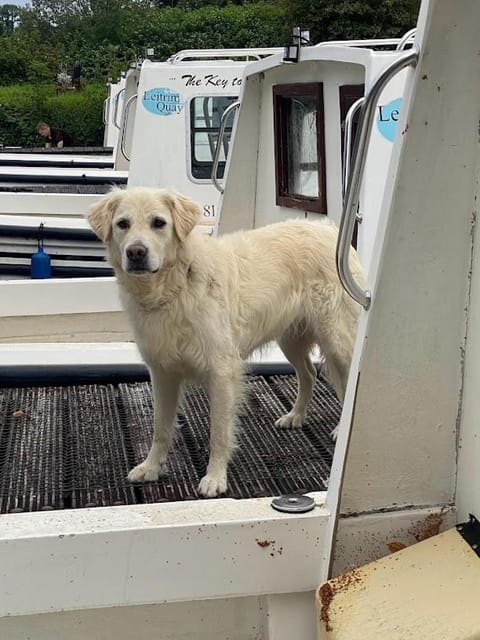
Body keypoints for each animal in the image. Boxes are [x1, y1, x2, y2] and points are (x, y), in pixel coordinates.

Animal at [87, 188, 364, 498]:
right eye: (122, 224)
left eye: (158, 223)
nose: (136, 252)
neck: (175, 285)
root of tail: (329, 228)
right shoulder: (162, 373)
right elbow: (160, 428)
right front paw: (151, 467)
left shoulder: (221, 371)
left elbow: (218, 432)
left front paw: (215, 478)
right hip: (290, 338)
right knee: (309, 373)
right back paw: (295, 416)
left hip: (340, 341)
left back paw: (340, 429)